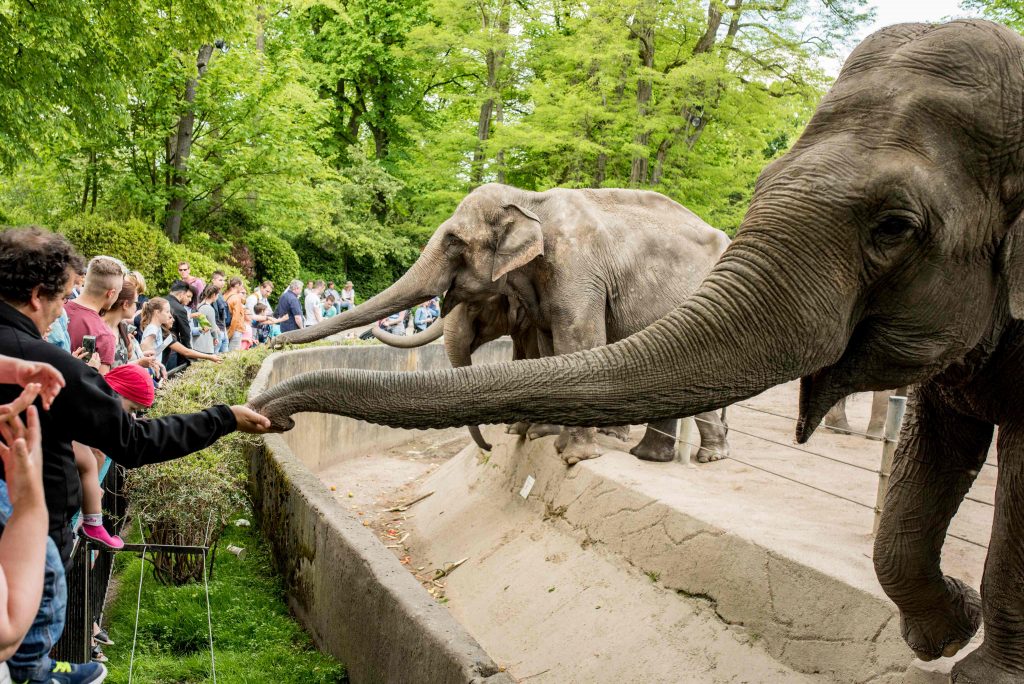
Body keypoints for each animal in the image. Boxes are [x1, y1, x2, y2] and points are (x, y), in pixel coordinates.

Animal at [276, 181, 733, 464]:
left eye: (454, 242)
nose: (279, 342)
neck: (531, 200)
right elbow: (547, 348)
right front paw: (535, 433)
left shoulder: (578, 267)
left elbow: (577, 340)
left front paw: (571, 455)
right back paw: (650, 456)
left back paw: (707, 456)